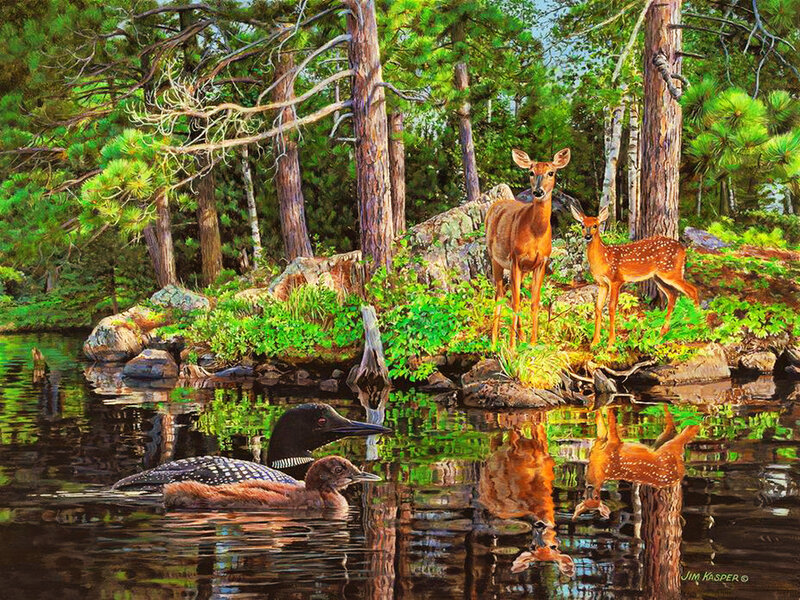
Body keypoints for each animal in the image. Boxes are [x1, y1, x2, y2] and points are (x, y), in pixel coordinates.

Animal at [486, 147, 571, 348]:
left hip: (521, 268)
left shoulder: (541, 262)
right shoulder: (516, 258)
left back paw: (522, 337)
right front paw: (511, 347)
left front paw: (532, 342)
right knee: (499, 294)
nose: (538, 191)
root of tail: (495, 205)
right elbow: (517, 302)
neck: (536, 233)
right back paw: (494, 341)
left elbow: (533, 302)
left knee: (509, 294)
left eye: (551, 172)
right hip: (495, 258)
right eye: (531, 172)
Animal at [570, 204, 700, 346]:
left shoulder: (616, 280)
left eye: (595, 225)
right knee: (673, 295)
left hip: (671, 272)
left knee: (692, 290)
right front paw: (595, 342)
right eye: (582, 225)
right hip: (659, 278)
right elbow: (598, 308)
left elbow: (611, 307)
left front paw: (611, 342)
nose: (587, 236)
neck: (603, 258)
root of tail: (683, 249)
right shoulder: (602, 283)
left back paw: (697, 326)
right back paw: (663, 332)